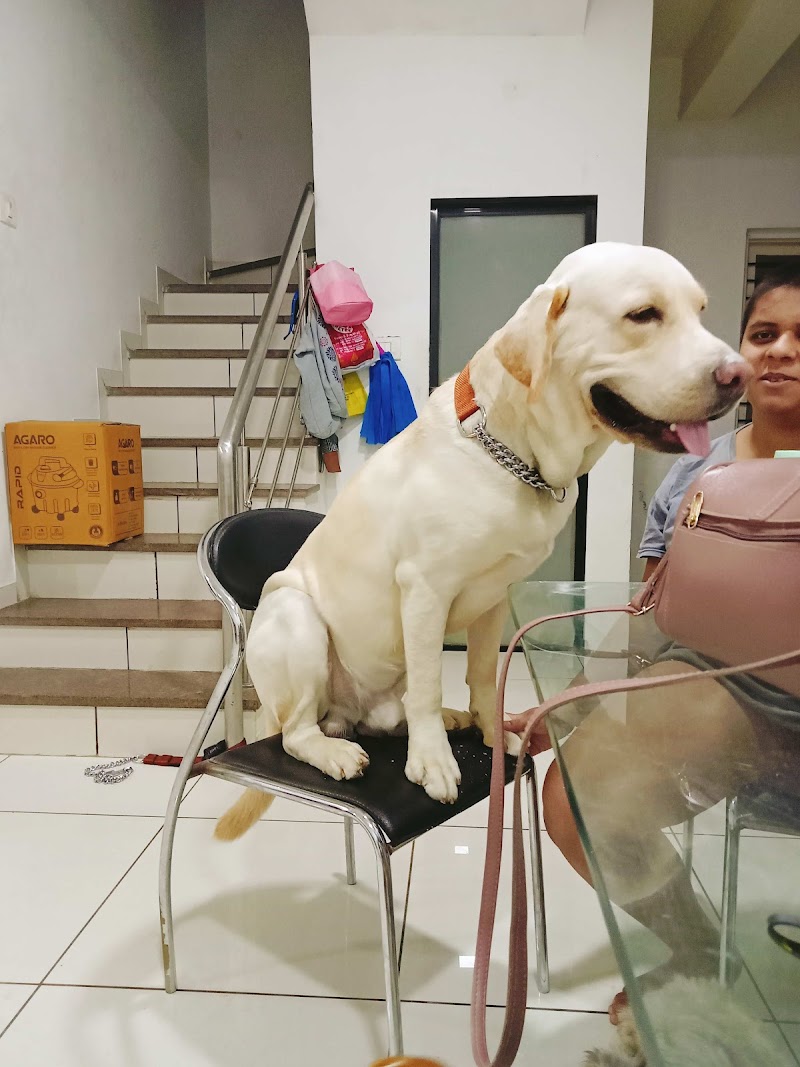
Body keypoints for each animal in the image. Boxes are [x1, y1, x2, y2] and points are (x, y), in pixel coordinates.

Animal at [216, 242, 750, 840]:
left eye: (700, 312)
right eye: (643, 315)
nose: (740, 375)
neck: (513, 452)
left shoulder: (496, 597)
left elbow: (480, 673)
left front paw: (492, 734)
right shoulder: (425, 589)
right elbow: (430, 683)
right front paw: (432, 761)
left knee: (387, 714)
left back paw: (444, 720)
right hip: (294, 614)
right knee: (298, 733)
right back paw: (338, 751)